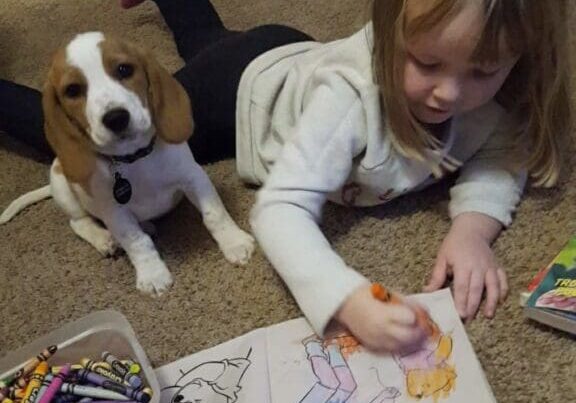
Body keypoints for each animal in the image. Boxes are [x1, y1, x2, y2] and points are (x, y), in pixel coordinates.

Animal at [1, 31, 254, 296]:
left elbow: (214, 214)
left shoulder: (193, 177)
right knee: (78, 222)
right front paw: (152, 275)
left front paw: (234, 243)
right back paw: (104, 239)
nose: (115, 118)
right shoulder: (114, 211)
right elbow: (136, 241)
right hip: (62, 185)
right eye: (72, 90)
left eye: (124, 69)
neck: (133, 158)